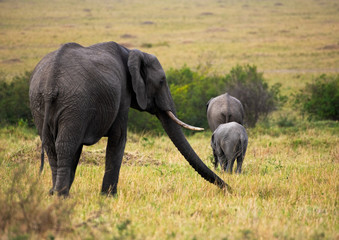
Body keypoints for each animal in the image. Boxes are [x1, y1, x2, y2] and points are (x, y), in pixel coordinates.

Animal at [29, 41, 231, 197]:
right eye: (161, 81)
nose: (230, 189)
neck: (131, 52)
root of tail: (50, 83)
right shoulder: (122, 92)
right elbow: (119, 137)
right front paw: (109, 197)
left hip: (41, 102)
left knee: (53, 145)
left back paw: (55, 194)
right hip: (75, 102)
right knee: (66, 144)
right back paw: (62, 195)